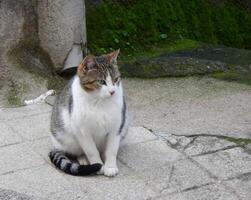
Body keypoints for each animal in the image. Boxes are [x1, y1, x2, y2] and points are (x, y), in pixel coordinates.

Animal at [48, 49, 129, 177]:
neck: (100, 102)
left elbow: (111, 149)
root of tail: (55, 146)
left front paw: (110, 166)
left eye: (116, 79)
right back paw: (83, 160)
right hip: (66, 137)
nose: (112, 92)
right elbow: (91, 151)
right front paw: (98, 165)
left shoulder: (116, 127)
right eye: (101, 81)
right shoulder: (82, 131)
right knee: (78, 151)